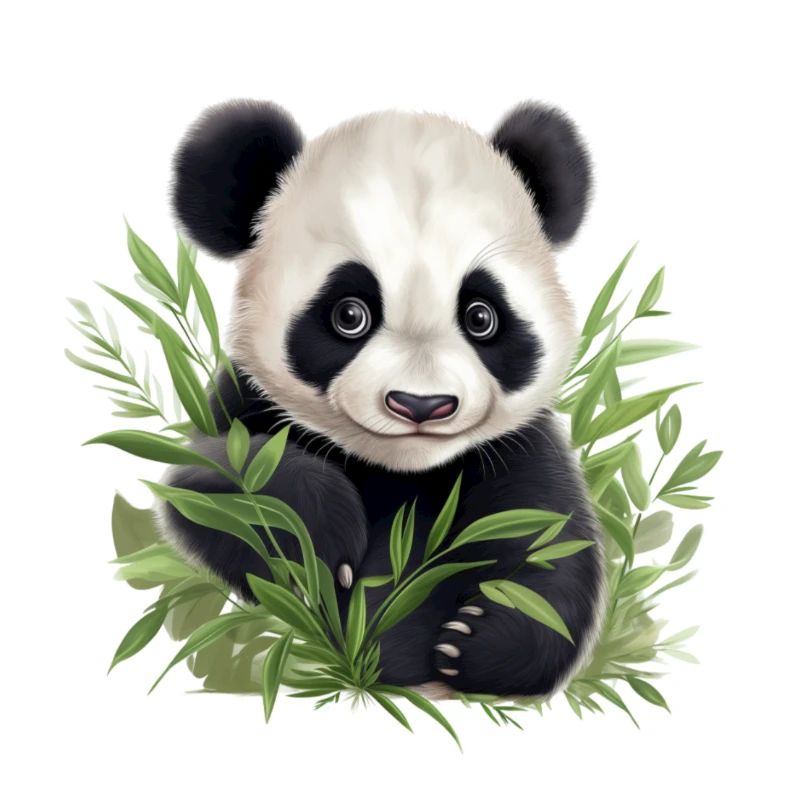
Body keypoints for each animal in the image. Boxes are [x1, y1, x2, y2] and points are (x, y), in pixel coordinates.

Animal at [162, 98, 606, 698]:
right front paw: (319, 542)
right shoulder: (245, 401)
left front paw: (477, 642)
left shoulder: (518, 445)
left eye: (481, 316)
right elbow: (211, 479)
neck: (402, 468)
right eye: (349, 314)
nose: (421, 404)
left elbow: (551, 541)